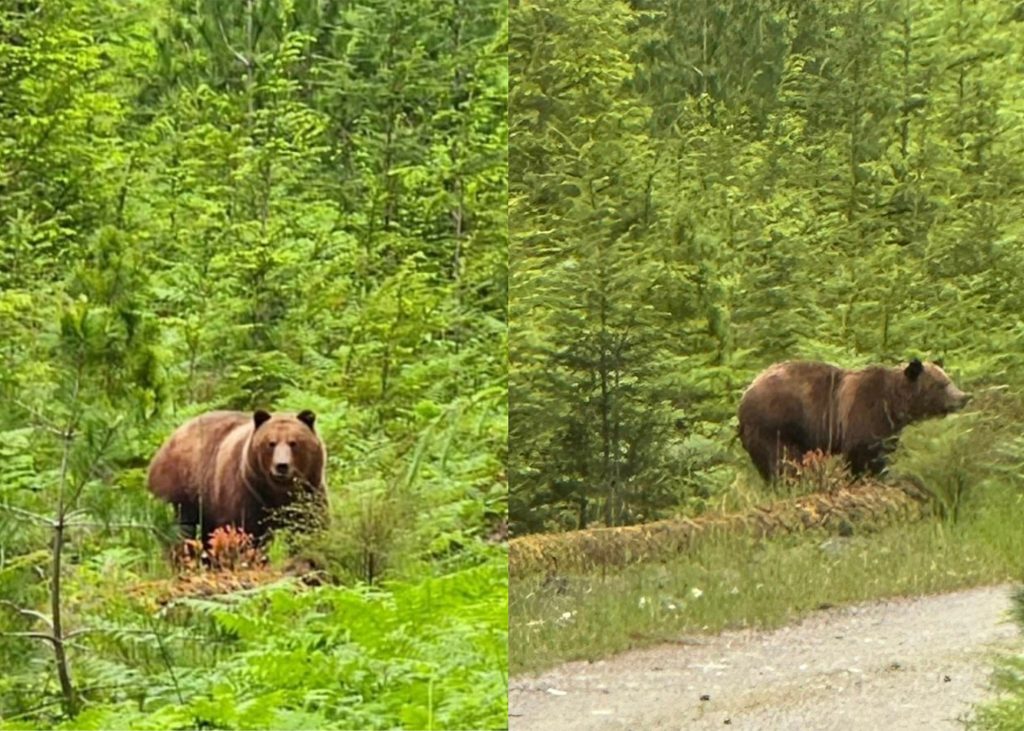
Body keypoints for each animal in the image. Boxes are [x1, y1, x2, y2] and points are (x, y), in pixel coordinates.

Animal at [147, 409, 328, 544]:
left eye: (293, 442)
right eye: (271, 443)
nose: (281, 465)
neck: (277, 494)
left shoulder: (310, 493)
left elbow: (311, 527)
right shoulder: (245, 494)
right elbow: (244, 531)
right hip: (179, 490)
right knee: (179, 530)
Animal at [738, 359, 971, 481]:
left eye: (949, 380)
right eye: (941, 384)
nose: (964, 397)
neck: (894, 405)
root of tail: (744, 395)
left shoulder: (888, 429)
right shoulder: (863, 414)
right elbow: (863, 453)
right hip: (775, 425)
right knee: (782, 460)